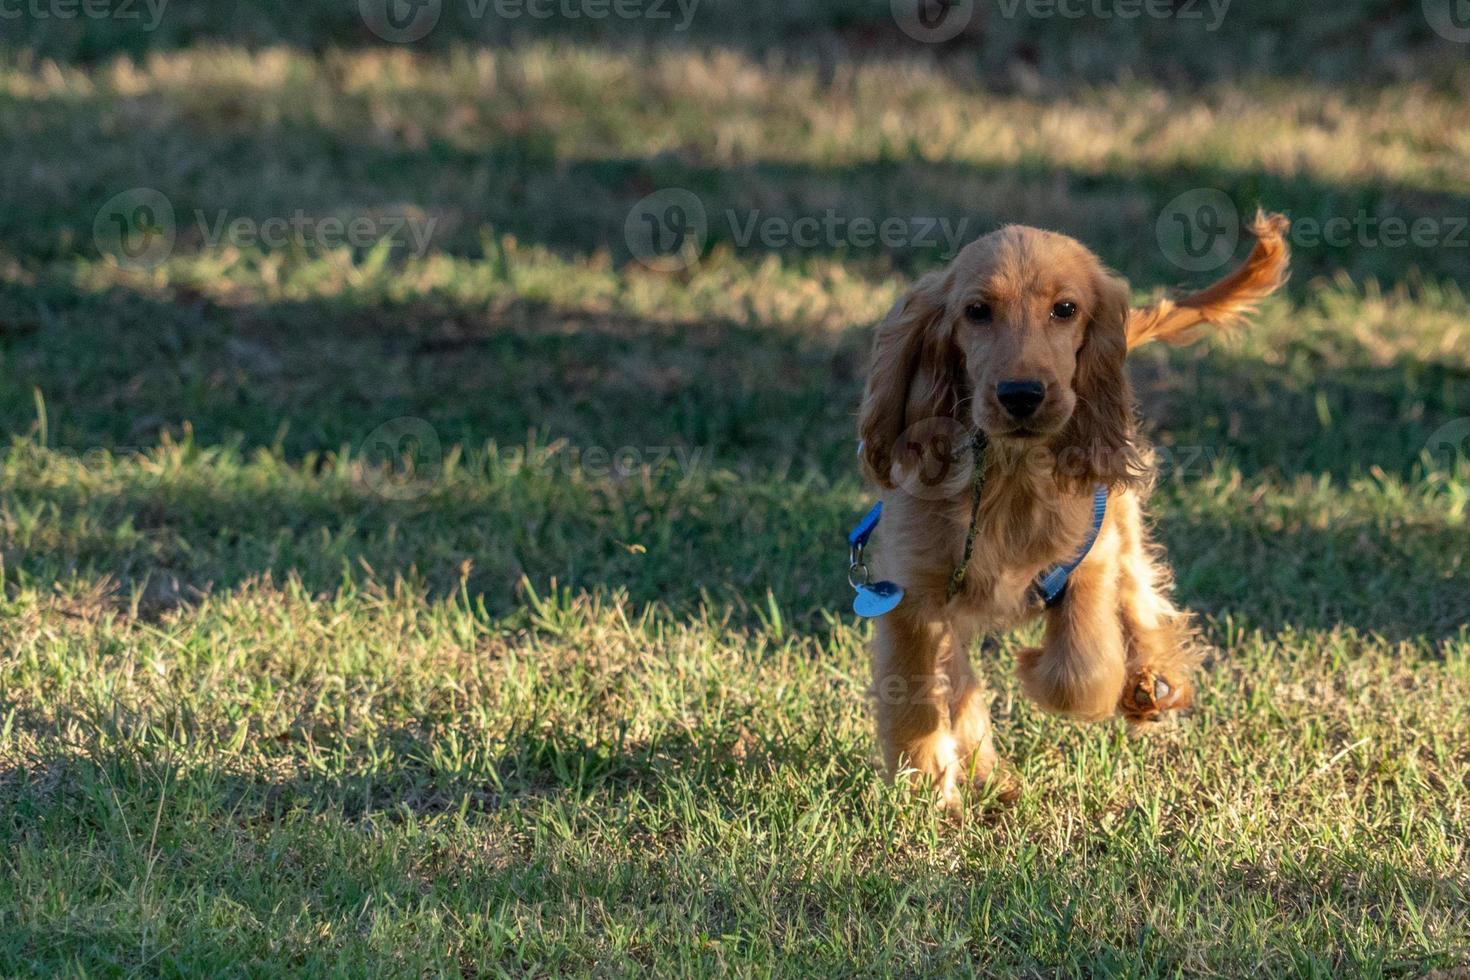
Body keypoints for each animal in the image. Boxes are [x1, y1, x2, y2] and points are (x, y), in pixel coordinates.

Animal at [858, 211, 1293, 811]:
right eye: (977, 311)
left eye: (1064, 309)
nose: (1021, 395)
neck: (1009, 479)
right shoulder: (911, 594)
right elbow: (919, 691)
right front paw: (927, 783)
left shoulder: (1088, 556)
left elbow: (1083, 672)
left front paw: (1035, 668)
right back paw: (985, 768)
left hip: (1121, 521)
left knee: (1139, 594)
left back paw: (1149, 682)